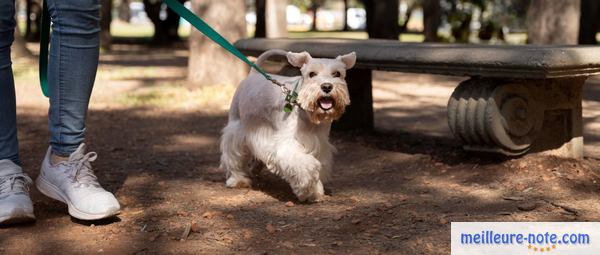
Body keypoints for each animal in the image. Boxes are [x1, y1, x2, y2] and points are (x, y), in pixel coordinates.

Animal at [220, 48, 356, 202]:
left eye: (337, 74)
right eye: (312, 74)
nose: (327, 86)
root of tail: (253, 75)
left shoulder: (320, 144)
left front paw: (315, 192)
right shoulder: (287, 145)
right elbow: (307, 166)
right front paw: (306, 189)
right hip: (237, 127)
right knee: (233, 155)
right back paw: (237, 179)